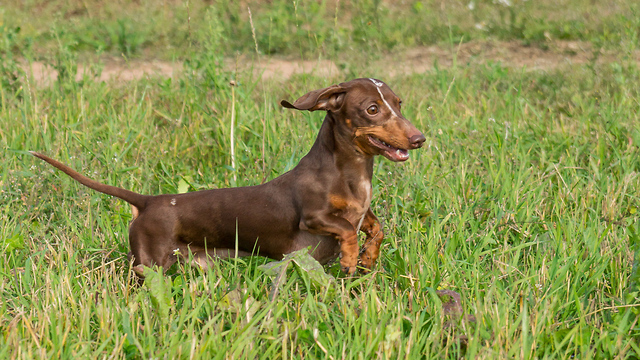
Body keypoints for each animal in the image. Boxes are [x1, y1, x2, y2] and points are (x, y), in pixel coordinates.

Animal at [33, 78, 424, 276]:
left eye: (398, 103)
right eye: (371, 109)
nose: (420, 138)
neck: (351, 171)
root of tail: (148, 202)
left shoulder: (362, 210)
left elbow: (375, 227)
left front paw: (368, 257)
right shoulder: (312, 217)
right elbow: (346, 229)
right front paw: (350, 257)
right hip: (151, 266)